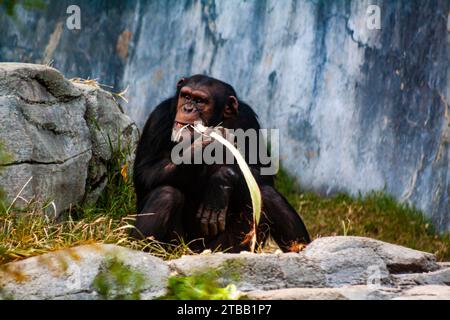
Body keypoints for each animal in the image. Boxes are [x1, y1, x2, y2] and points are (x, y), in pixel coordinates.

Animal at [132, 75, 312, 252]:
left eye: (200, 101)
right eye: (186, 96)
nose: (187, 108)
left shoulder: (248, 119)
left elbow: (263, 172)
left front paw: (221, 181)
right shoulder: (158, 118)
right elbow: (145, 171)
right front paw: (202, 148)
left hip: (231, 247)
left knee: (268, 194)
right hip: (176, 246)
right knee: (166, 195)